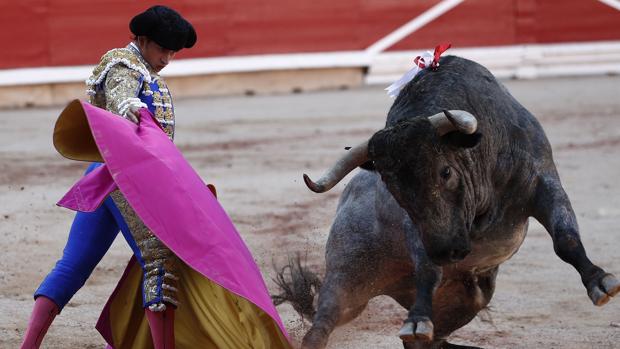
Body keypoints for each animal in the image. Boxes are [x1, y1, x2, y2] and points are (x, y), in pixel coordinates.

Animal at [276, 55, 620, 346]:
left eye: (446, 171)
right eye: (392, 187)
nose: (447, 251)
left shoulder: (544, 182)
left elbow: (566, 240)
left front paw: (601, 282)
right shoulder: (418, 230)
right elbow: (428, 270)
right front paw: (417, 319)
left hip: (467, 299)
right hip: (348, 280)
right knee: (324, 323)